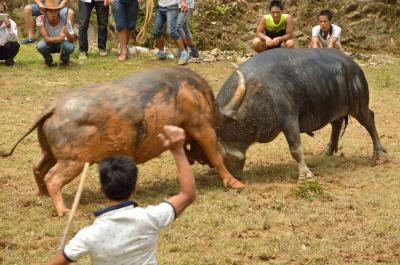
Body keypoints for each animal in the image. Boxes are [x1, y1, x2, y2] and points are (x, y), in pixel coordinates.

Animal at [0, 67, 244, 216]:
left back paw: (41, 194)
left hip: (49, 153)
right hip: (74, 160)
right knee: (53, 177)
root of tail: (54, 107)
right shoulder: (201, 125)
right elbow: (215, 154)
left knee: (38, 167)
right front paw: (235, 183)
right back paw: (64, 211)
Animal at [211, 47, 386, 179]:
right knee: (336, 124)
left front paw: (305, 174)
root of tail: (354, 66)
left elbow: (295, 148)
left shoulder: (289, 119)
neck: (257, 90)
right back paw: (328, 150)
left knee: (370, 120)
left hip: (359, 105)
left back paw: (379, 154)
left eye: (224, 133)